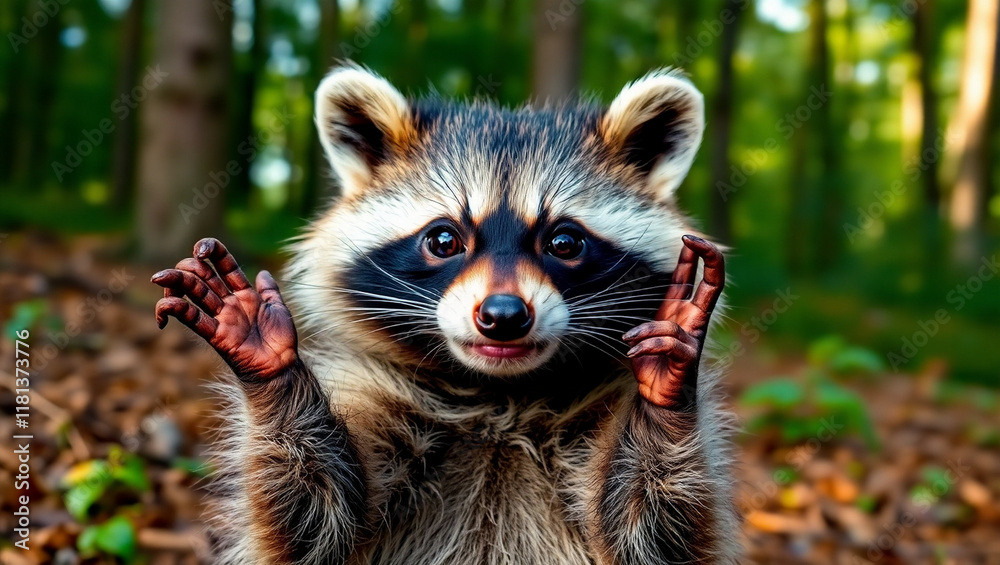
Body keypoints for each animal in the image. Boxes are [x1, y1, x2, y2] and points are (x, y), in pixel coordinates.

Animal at [152, 64, 740, 560]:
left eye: (565, 242)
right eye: (442, 239)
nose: (503, 315)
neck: (498, 396)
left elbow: (653, 527)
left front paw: (665, 388)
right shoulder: (376, 394)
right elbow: (315, 516)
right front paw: (269, 361)